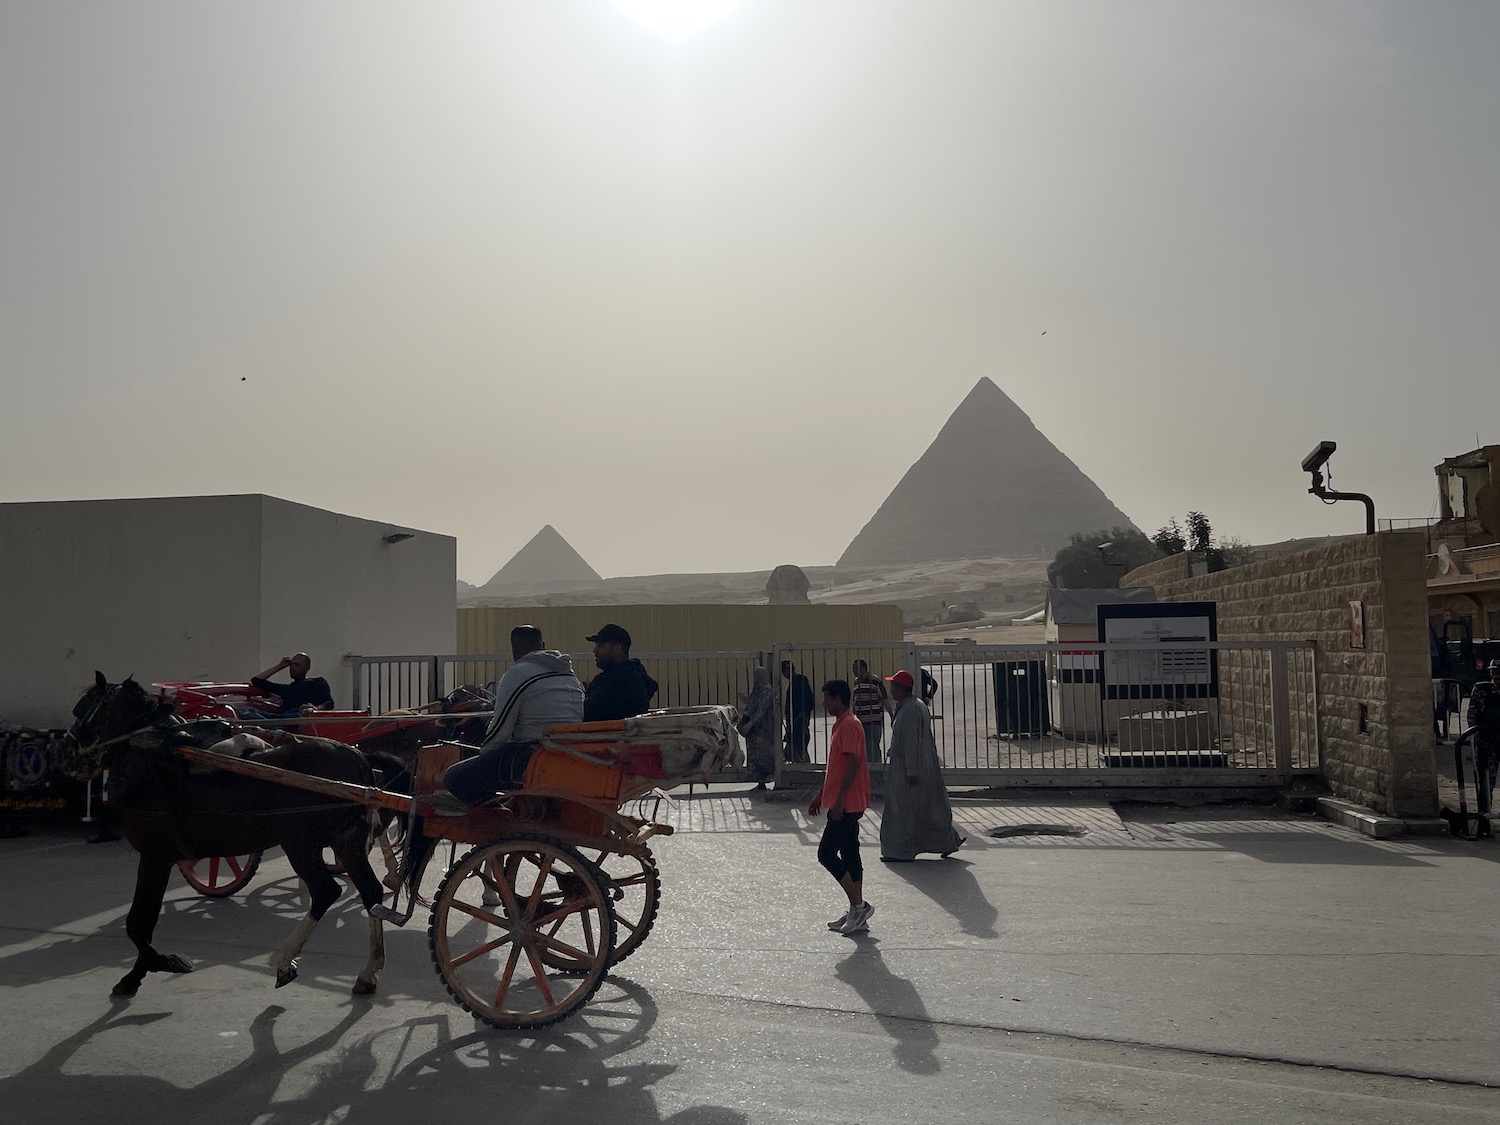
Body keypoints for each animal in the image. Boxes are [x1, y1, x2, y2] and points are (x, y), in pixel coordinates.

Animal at [67, 675, 408, 1002]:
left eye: (82, 709)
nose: (67, 754)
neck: (152, 751)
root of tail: (357, 757)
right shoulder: (159, 858)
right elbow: (144, 922)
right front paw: (140, 972)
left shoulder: (154, 856)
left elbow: (138, 923)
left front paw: (154, 966)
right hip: (345, 842)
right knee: (370, 893)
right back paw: (368, 971)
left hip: (300, 843)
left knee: (326, 891)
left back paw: (286, 960)